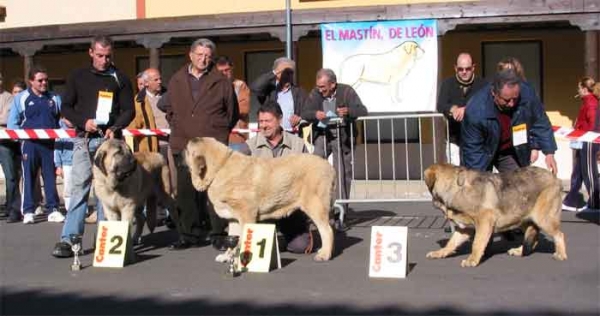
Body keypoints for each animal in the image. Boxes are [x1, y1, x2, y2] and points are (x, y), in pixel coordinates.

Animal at [422, 164, 568, 268]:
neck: (456, 187)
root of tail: (556, 178)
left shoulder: (485, 221)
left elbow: (477, 243)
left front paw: (472, 260)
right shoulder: (465, 229)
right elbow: (451, 243)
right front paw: (440, 253)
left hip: (543, 218)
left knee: (559, 235)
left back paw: (561, 254)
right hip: (521, 218)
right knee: (534, 237)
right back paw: (520, 251)